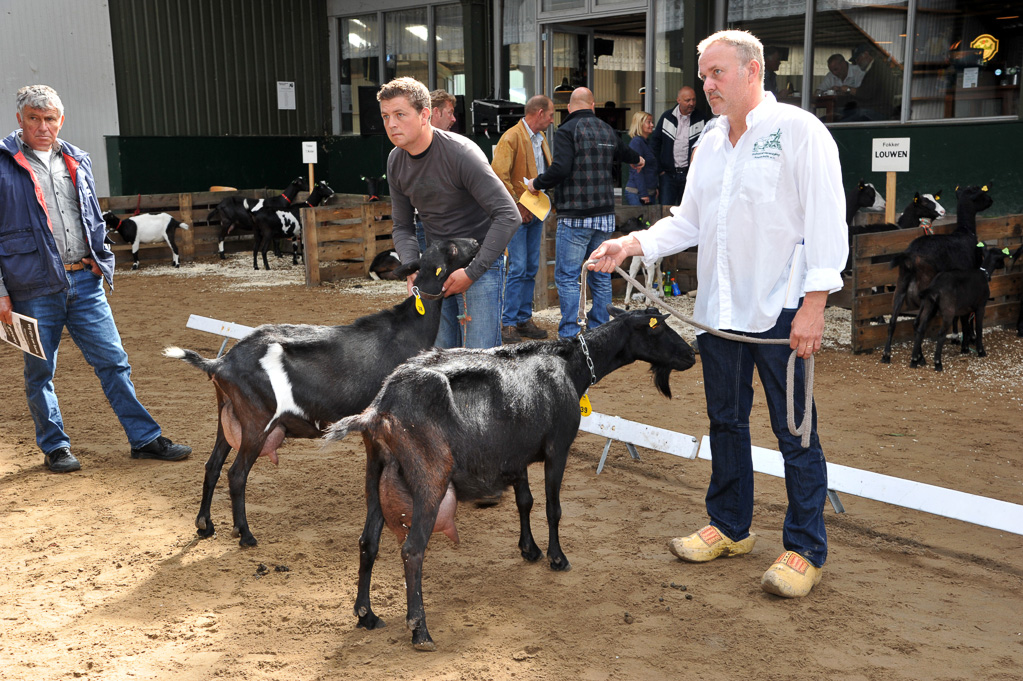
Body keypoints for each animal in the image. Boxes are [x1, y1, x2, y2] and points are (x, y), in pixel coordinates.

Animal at [164, 238, 482, 548]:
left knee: (212, 466)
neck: (409, 326)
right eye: (452, 248)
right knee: (236, 474)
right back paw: (246, 535)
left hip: (228, 415)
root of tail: (221, 363)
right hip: (257, 422)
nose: (477, 242)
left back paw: (205, 525)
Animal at [325, 304, 695, 650]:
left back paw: (366, 615)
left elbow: (525, 502)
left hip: (374, 472)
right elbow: (553, 508)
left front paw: (529, 550)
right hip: (429, 477)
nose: (692, 355)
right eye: (658, 327)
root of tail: (379, 411)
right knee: (412, 549)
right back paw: (420, 631)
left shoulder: (516, 454)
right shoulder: (558, 448)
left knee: (367, 541)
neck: (571, 366)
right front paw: (557, 558)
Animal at [879, 183, 990, 364]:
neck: (965, 231)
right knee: (918, 323)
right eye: (979, 193)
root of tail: (910, 255)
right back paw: (919, 358)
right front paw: (966, 344)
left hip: (901, 285)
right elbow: (965, 316)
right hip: (925, 290)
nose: (991, 200)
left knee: (893, 321)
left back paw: (887, 355)